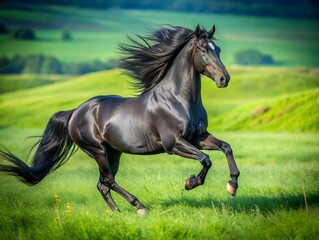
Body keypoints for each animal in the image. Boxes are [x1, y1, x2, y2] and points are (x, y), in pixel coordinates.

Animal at [0, 24, 240, 216]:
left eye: (218, 49)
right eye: (203, 49)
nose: (224, 79)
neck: (178, 99)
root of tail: (75, 111)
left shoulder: (198, 137)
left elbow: (226, 147)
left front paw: (232, 185)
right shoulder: (173, 144)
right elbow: (205, 159)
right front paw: (190, 183)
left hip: (113, 152)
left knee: (102, 184)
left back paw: (117, 212)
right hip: (97, 150)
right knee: (108, 181)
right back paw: (139, 207)